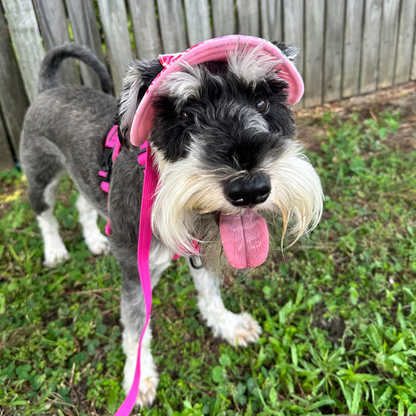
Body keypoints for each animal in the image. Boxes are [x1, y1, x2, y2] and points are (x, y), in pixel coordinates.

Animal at [20, 40, 322, 408]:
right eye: (185, 115)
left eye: (263, 102)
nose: (250, 188)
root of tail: (49, 87)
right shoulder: (135, 272)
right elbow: (136, 327)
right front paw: (139, 379)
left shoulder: (199, 250)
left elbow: (210, 293)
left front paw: (228, 325)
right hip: (41, 175)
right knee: (45, 214)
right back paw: (55, 250)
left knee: (83, 203)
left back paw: (94, 239)